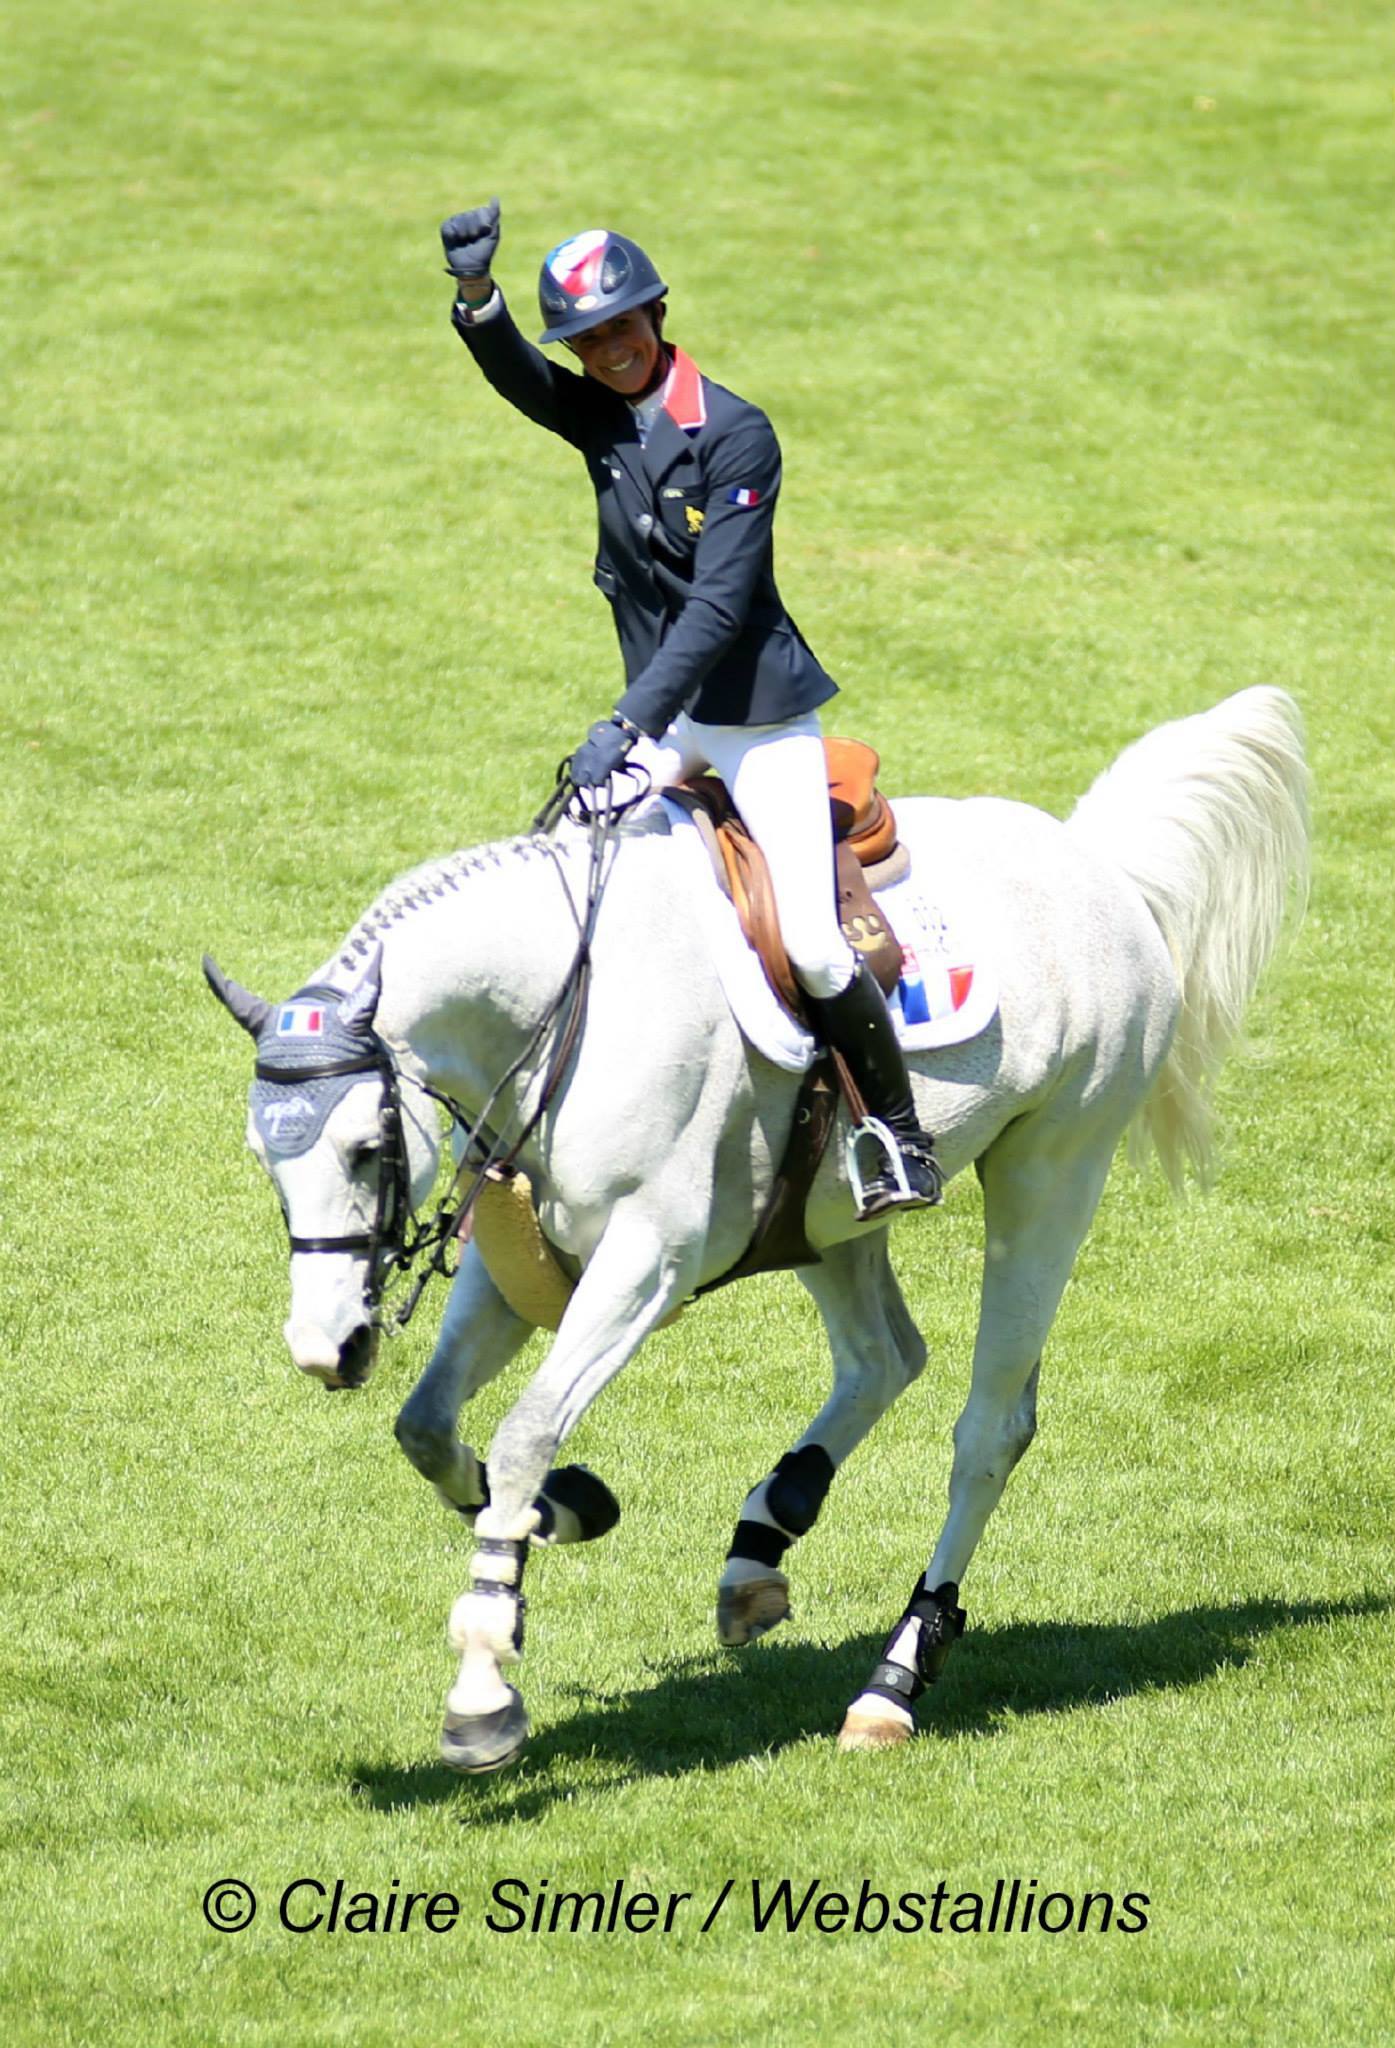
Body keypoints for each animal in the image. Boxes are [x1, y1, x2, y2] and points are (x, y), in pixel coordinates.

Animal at [206, 692, 1302, 1777]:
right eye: (264, 1156)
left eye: (364, 1147)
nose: (326, 1349)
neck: (561, 1005)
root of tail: (1096, 866)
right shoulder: (520, 1258)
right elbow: (431, 1427)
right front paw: (567, 1510)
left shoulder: (643, 1263)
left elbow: (522, 1433)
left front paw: (483, 1685)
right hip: (830, 1214)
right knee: (884, 1356)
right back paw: (761, 1542)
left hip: (1052, 1171)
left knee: (990, 1426)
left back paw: (891, 1682)